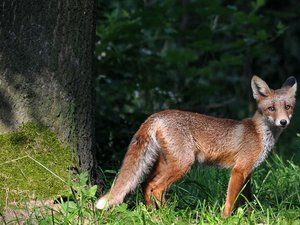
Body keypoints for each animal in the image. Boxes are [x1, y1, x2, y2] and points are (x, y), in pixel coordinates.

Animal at [95, 75, 296, 218]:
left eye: (288, 107)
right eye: (271, 109)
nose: (283, 122)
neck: (259, 133)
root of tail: (156, 115)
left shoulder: (247, 173)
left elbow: (246, 200)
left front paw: (248, 216)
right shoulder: (239, 170)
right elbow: (230, 201)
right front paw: (226, 219)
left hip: (165, 163)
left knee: (146, 184)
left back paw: (152, 213)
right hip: (183, 164)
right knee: (156, 187)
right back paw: (168, 214)